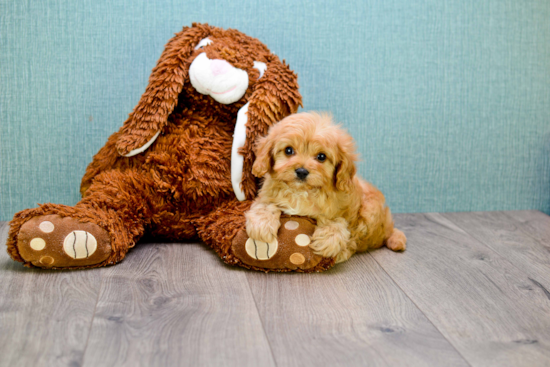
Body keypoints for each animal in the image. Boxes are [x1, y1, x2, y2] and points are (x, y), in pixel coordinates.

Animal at [248, 112, 408, 264]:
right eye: (288, 150)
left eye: (321, 157)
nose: (301, 171)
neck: (302, 191)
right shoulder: (267, 195)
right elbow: (265, 205)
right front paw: (261, 226)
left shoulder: (343, 211)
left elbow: (337, 221)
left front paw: (327, 240)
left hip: (370, 211)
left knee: (360, 239)